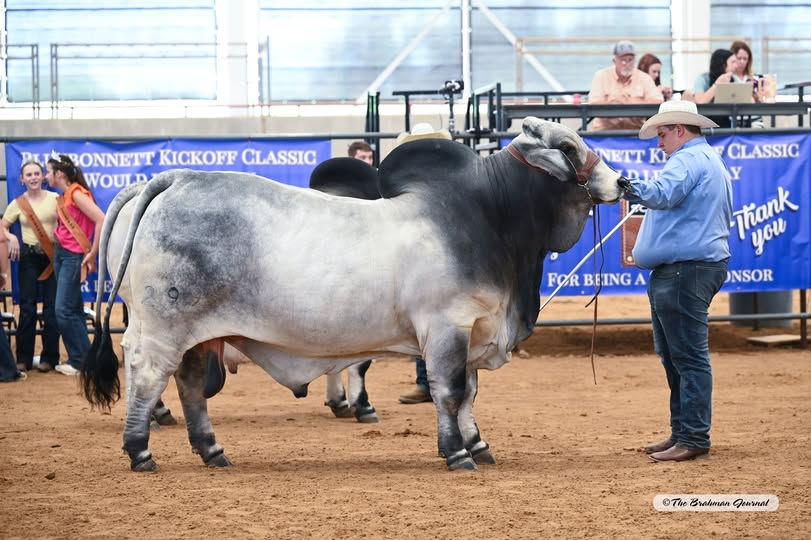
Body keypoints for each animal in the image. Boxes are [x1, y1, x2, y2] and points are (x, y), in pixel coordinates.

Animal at [81, 117, 626, 472]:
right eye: (569, 146)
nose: (620, 181)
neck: (492, 216)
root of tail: (178, 177)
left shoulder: (473, 329)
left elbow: (469, 393)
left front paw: (478, 446)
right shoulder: (445, 327)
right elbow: (448, 392)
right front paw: (455, 453)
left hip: (198, 334)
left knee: (191, 384)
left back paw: (212, 451)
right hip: (163, 325)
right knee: (148, 374)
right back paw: (140, 450)